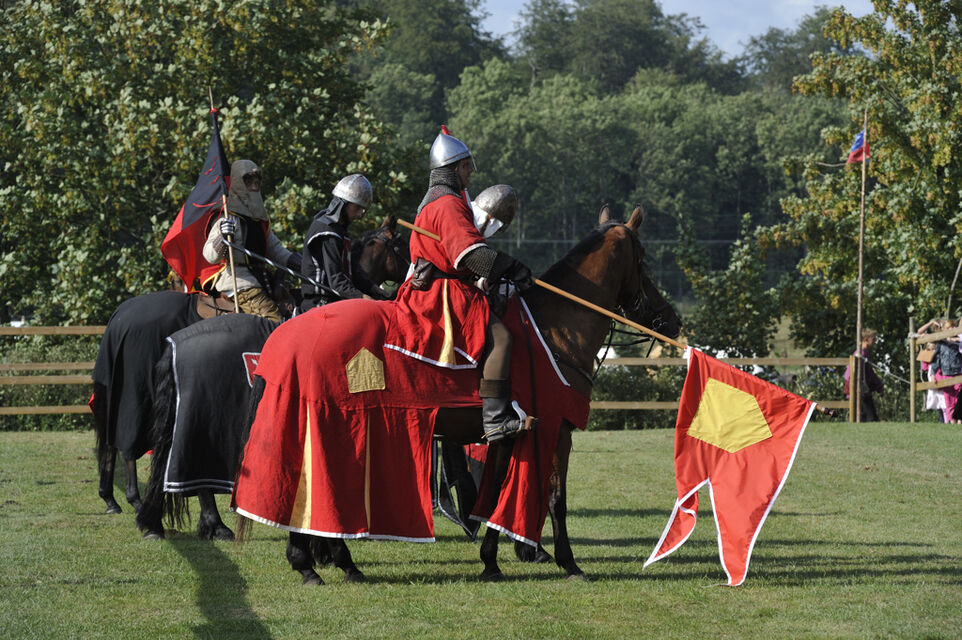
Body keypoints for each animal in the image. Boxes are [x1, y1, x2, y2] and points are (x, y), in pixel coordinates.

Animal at [91, 216, 409, 516]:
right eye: (400, 245)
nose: (412, 272)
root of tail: (121, 314)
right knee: (126, 441)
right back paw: (133, 498)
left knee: (113, 441)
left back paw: (115, 498)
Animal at [234, 205, 682, 585]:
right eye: (642, 259)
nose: (672, 320)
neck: (554, 329)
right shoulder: (556, 431)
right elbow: (554, 497)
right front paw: (567, 563)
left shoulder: (511, 437)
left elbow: (496, 492)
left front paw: (493, 560)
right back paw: (322, 562)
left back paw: (321, 562)